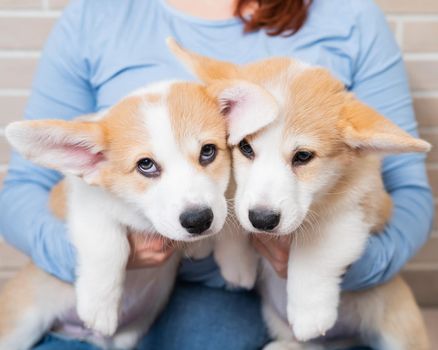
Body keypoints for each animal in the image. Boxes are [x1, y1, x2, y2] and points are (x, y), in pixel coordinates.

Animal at [0, 81, 243, 350]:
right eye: (145, 165)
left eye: (208, 151)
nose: (198, 221)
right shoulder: (85, 200)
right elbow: (110, 245)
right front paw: (99, 306)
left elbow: (229, 204)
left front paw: (237, 263)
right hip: (21, 324)